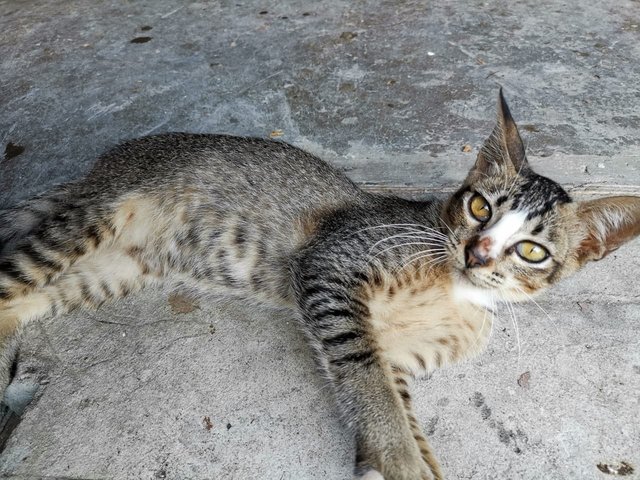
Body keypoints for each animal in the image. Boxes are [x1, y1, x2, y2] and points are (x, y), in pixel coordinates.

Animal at [1, 91, 640, 480]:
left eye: (532, 250)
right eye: (480, 206)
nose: (476, 252)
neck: (456, 289)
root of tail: (107, 161)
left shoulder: (400, 356)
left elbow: (396, 402)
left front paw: (407, 459)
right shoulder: (330, 269)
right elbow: (368, 383)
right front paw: (400, 460)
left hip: (108, 271)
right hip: (93, 220)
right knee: (10, 277)